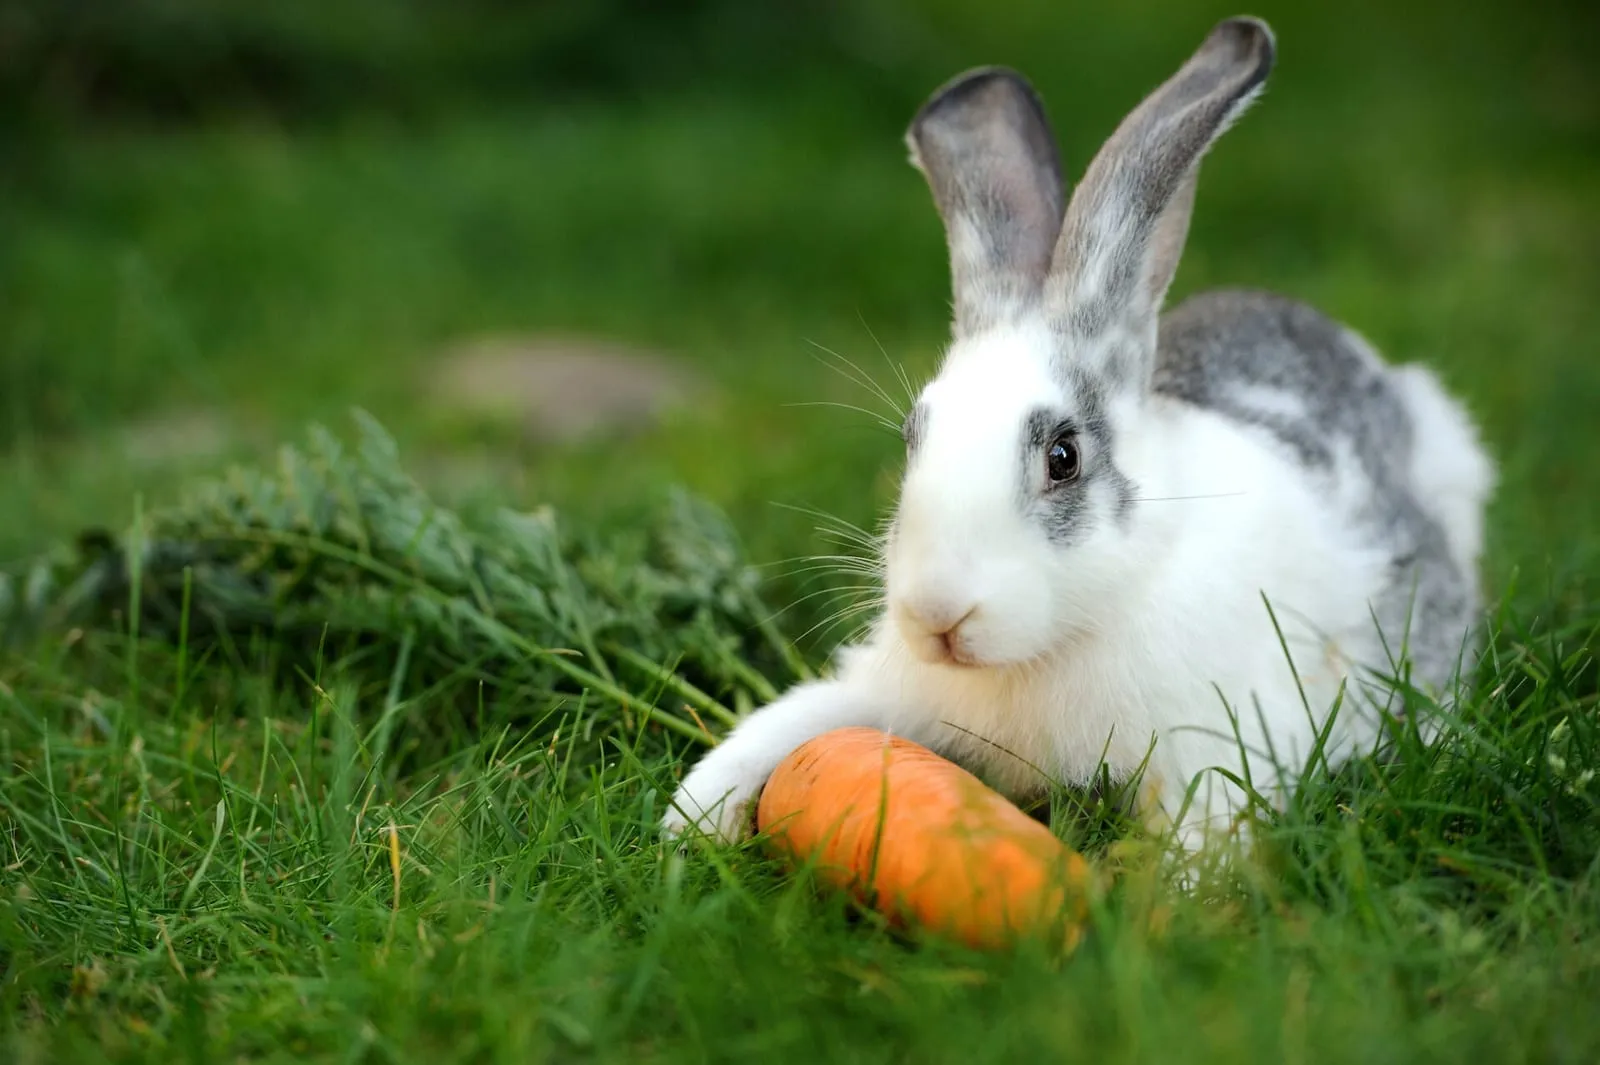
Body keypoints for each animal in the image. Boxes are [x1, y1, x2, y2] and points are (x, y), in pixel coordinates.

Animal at [660, 16, 1494, 856]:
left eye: (1063, 457)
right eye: (911, 438)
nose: (938, 614)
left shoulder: (1212, 747)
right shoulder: (884, 689)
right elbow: (791, 718)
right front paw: (690, 819)